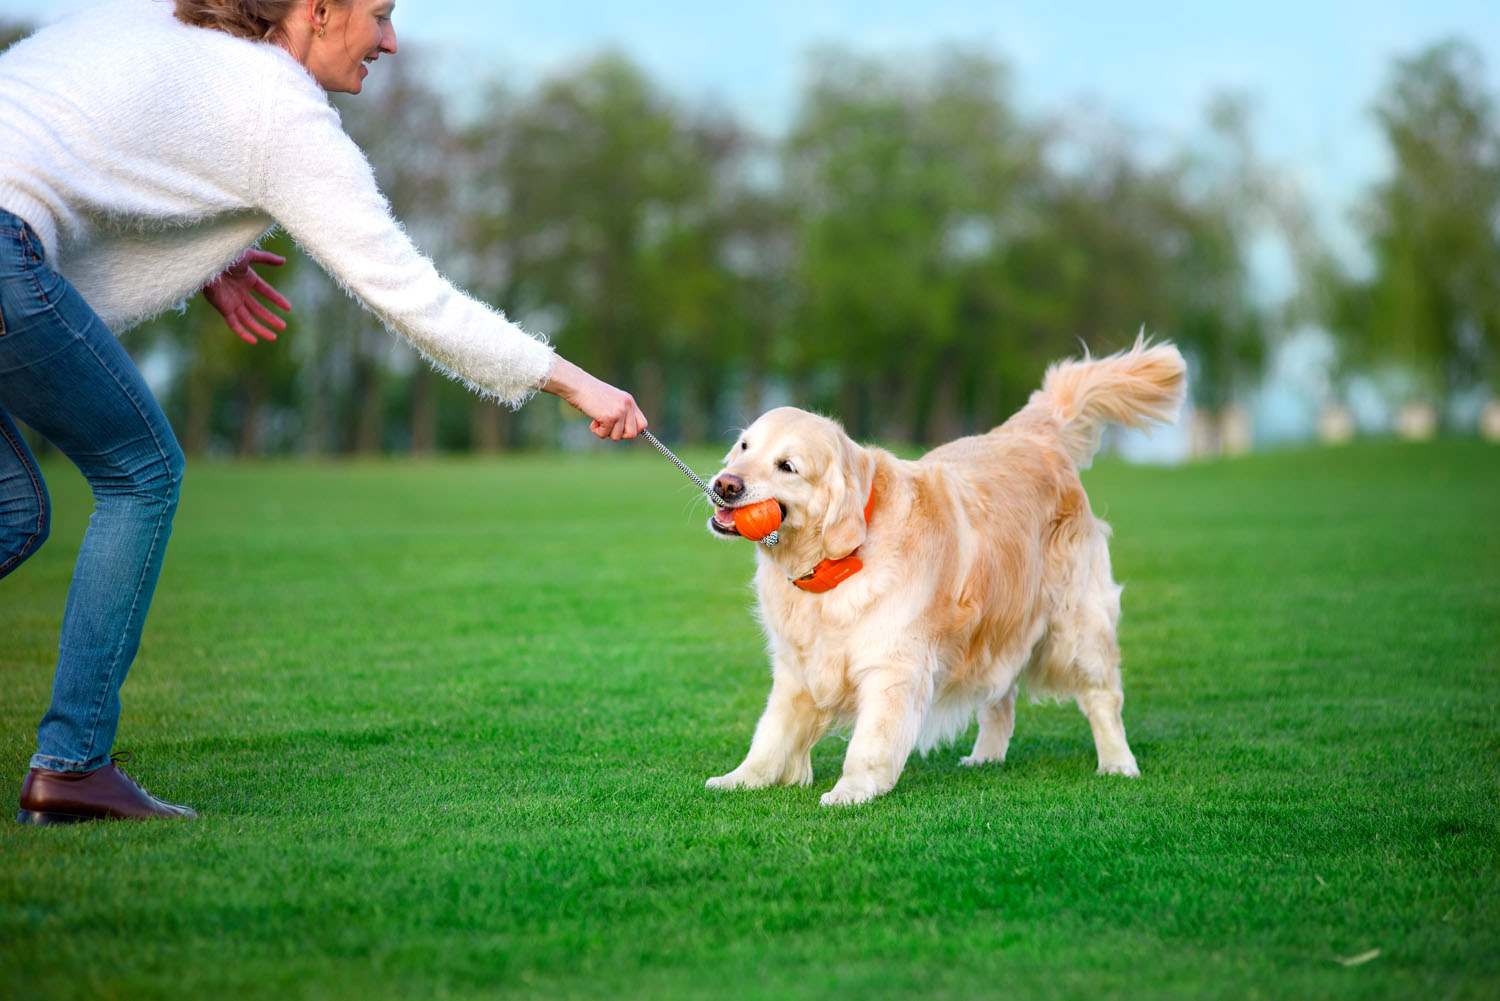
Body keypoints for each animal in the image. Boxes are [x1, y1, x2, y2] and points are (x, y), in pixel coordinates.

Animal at [702, 339, 1182, 804]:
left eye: (787, 466)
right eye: (744, 447)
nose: (725, 483)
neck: (835, 562)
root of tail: (1035, 431)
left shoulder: (892, 666)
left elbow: (869, 743)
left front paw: (852, 790)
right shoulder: (796, 666)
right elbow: (771, 733)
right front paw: (741, 778)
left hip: (1077, 626)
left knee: (1102, 697)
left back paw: (1118, 763)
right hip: (996, 626)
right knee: (1000, 696)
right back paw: (986, 757)